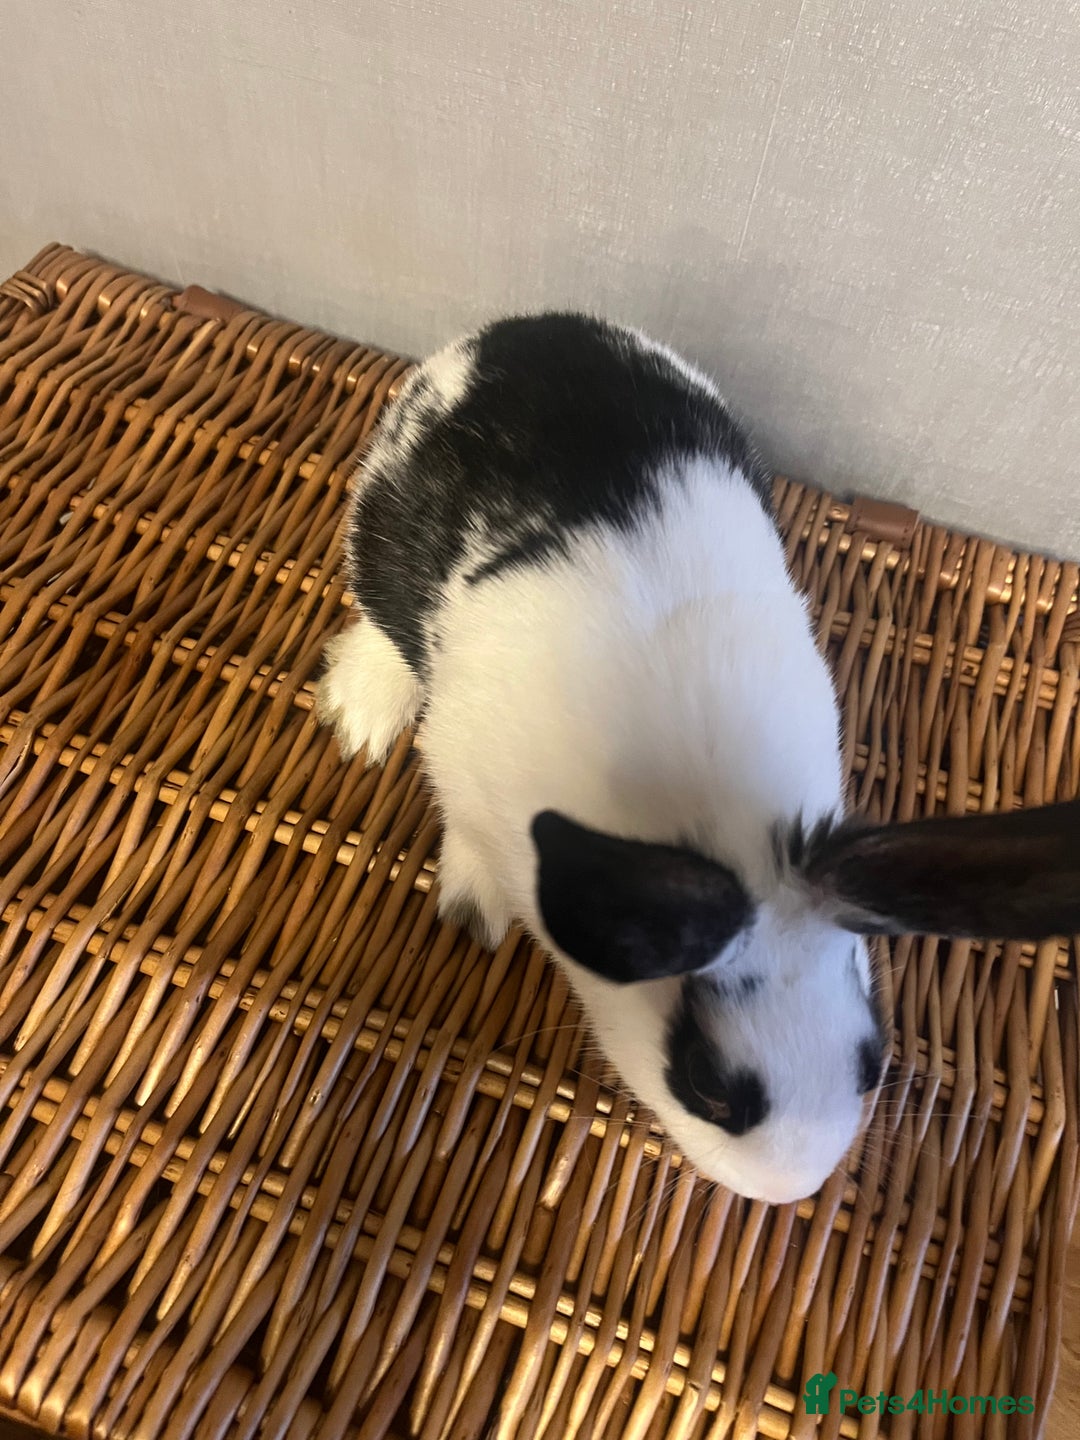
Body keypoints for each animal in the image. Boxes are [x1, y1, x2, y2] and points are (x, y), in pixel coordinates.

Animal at [318, 312, 1080, 1204]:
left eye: (872, 1058)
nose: (790, 1188)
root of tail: (518, 332)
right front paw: (474, 909)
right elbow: (465, 831)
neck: (726, 834)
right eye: (708, 1084)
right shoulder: (462, 769)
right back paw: (361, 709)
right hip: (379, 536)